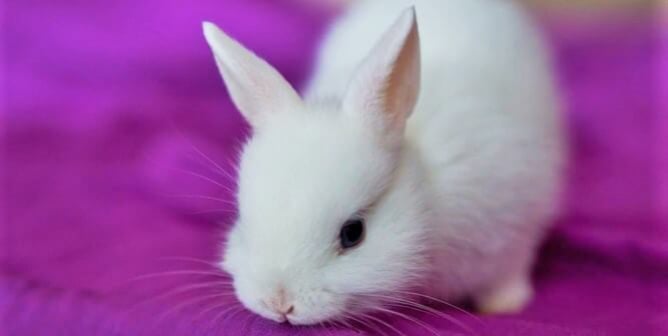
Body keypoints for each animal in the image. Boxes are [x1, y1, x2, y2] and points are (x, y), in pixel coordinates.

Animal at [204, 0, 564, 326]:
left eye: (353, 233)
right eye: (244, 220)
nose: (278, 303)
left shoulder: (513, 223)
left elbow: (510, 269)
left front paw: (504, 305)